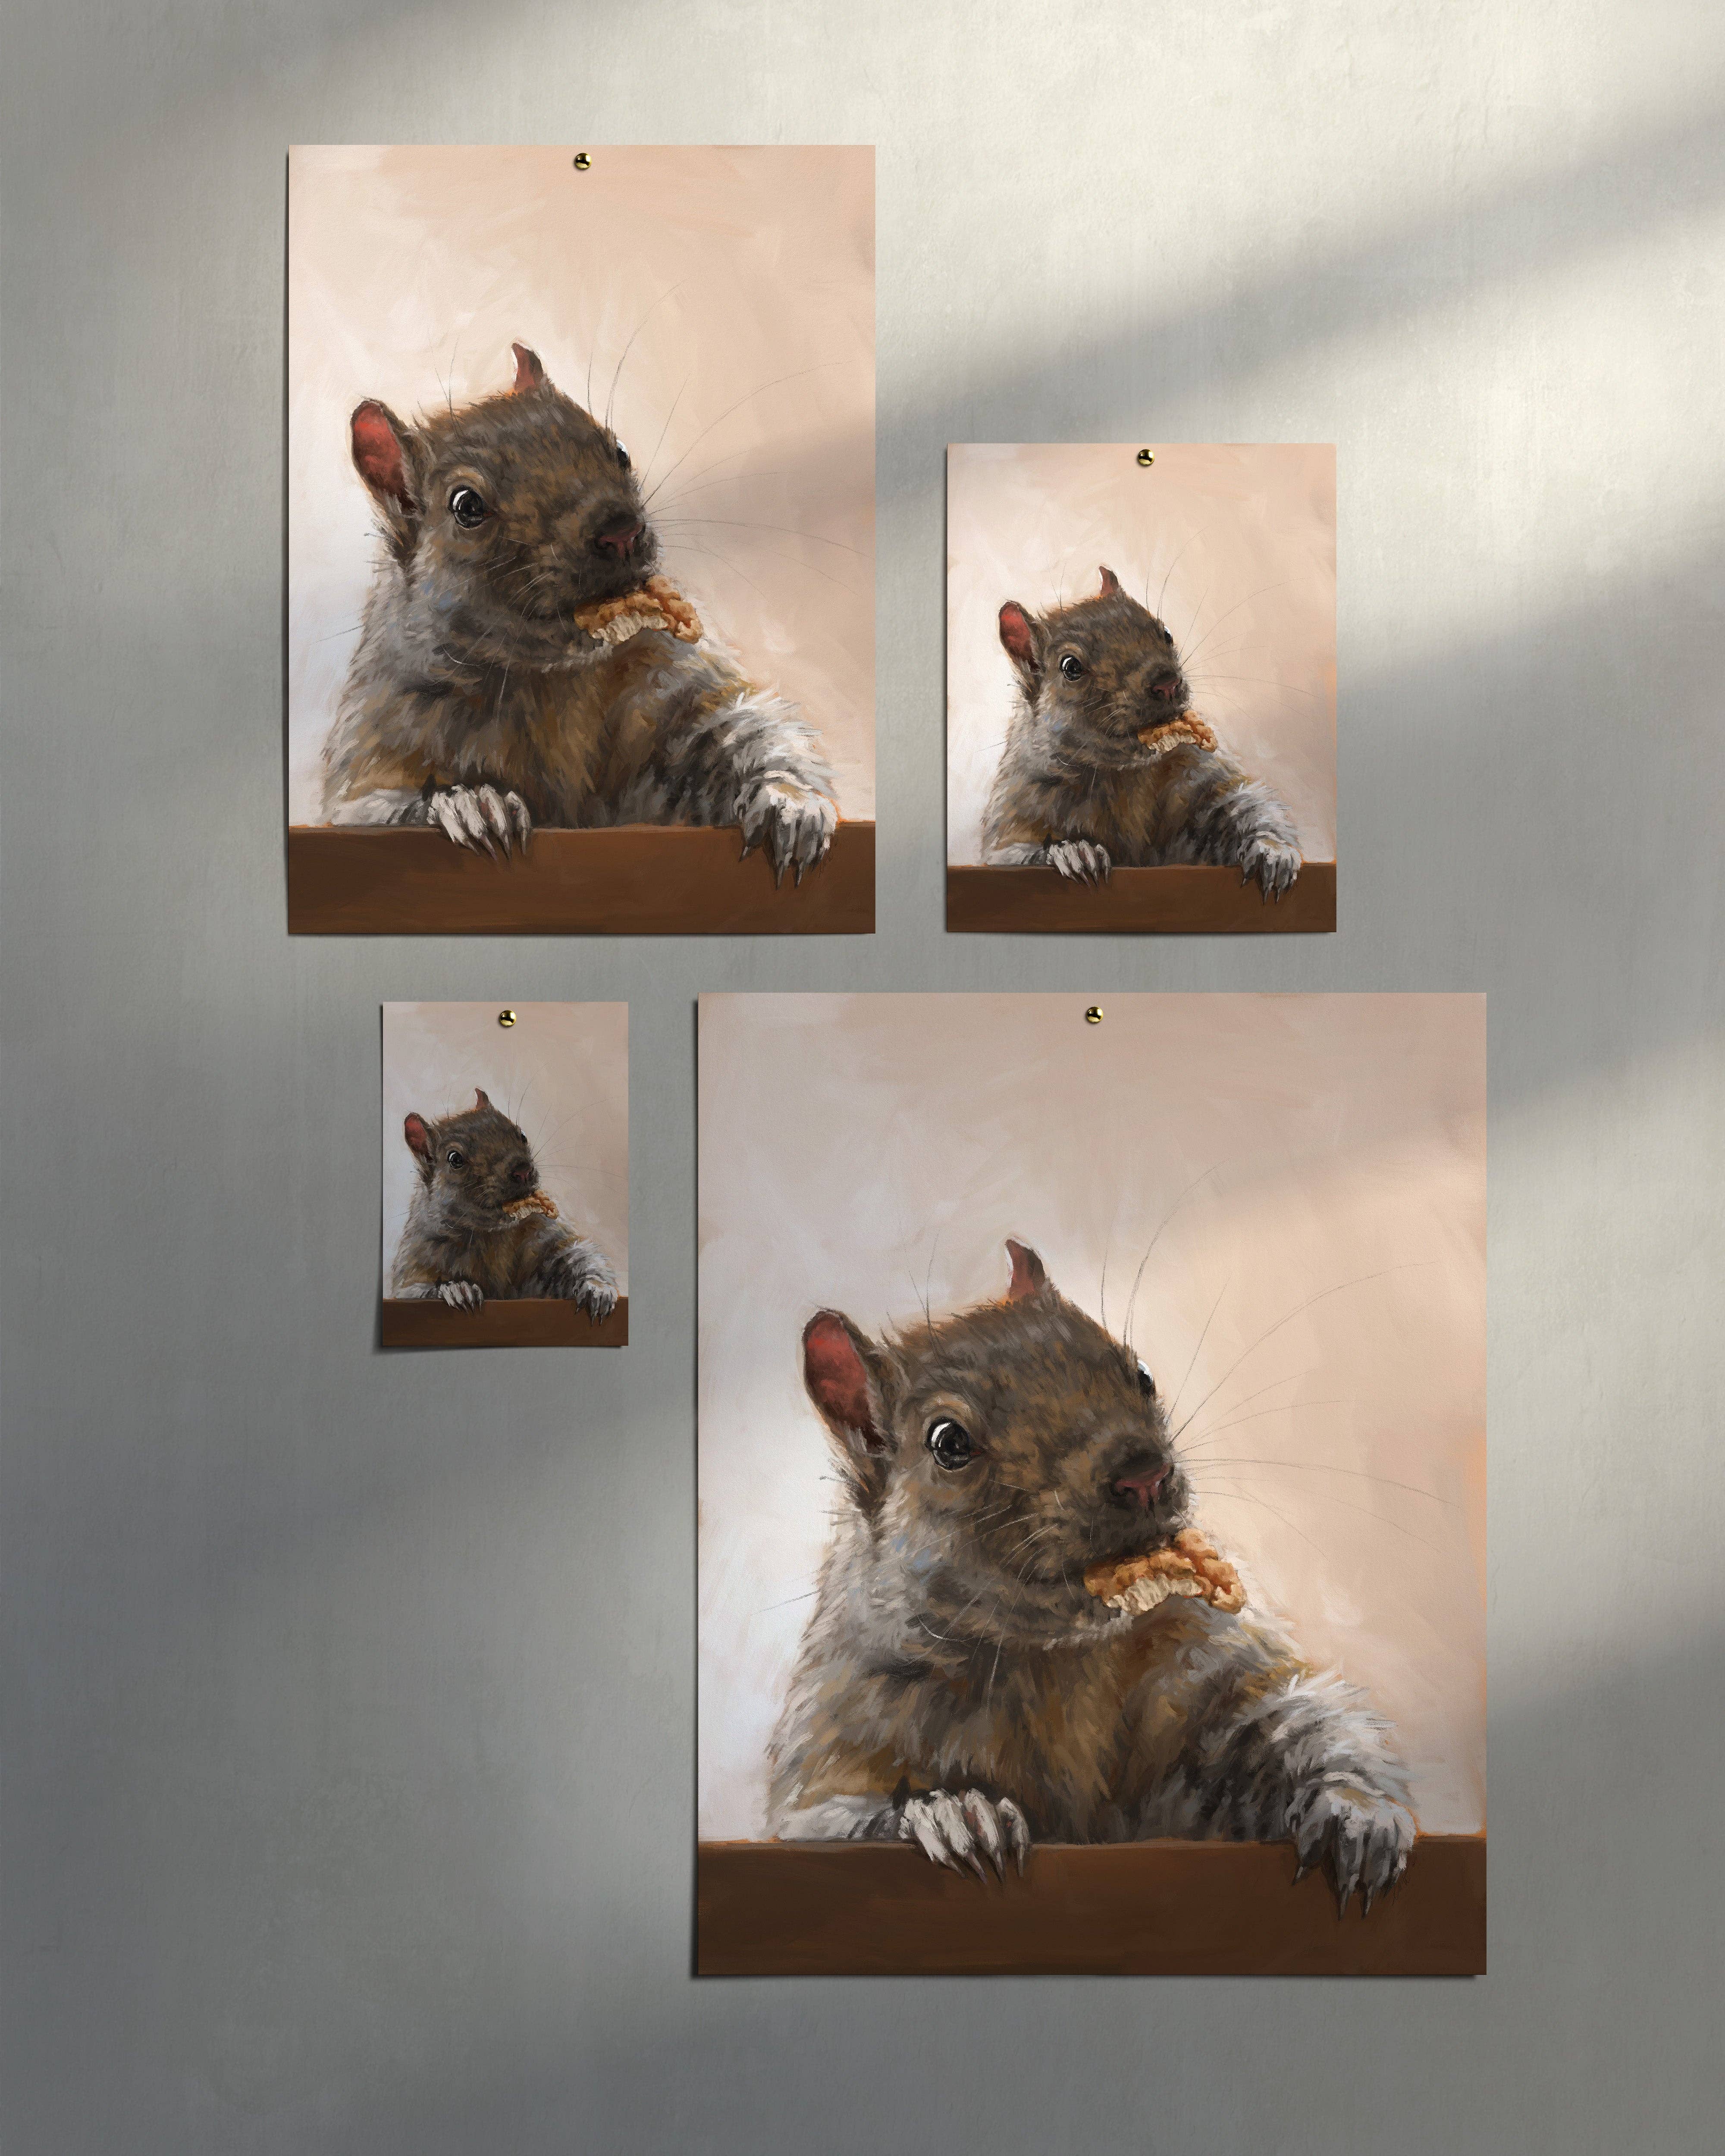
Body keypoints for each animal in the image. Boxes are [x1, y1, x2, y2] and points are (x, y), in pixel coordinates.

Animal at [321, 343, 838, 885]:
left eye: (620, 451)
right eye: (466, 505)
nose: (621, 529)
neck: (551, 678)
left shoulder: (671, 683)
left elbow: (742, 727)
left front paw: (789, 802)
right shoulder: (380, 741)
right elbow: (369, 807)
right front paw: (468, 803)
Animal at [390, 1089, 618, 1320]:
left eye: (523, 1135)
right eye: (455, 1159)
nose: (523, 1170)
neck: (494, 1235)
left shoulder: (546, 1237)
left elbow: (577, 1256)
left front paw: (597, 1289)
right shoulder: (416, 1264)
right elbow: (413, 1290)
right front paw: (456, 1289)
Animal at [767, 1240, 1414, 1912]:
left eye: (1143, 1374)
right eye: (948, 1442)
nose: (1145, 1473)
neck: (1055, 1658)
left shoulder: (1204, 1664)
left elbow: (1293, 1720)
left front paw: (1355, 1811)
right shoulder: (838, 1740)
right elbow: (829, 1817)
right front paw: (951, 1813)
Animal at [981, 568, 1303, 898]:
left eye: (1166, 633)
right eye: (1070, 667)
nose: (1168, 682)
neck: (1123, 775)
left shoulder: (1199, 776)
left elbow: (1244, 803)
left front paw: (1272, 851)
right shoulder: (1016, 814)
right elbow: (1011, 854)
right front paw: (1072, 851)